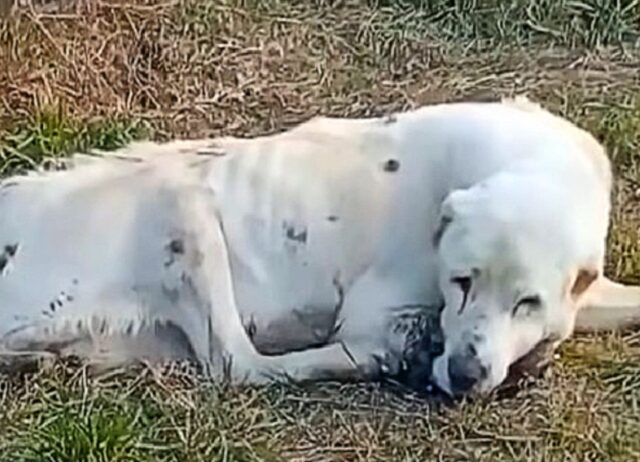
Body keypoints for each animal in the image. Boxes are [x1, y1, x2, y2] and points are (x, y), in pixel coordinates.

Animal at [1, 96, 640, 398]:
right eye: (461, 282)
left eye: (527, 302)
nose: (463, 374)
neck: (539, 162)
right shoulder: (373, 313)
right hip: (180, 198)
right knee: (240, 364)